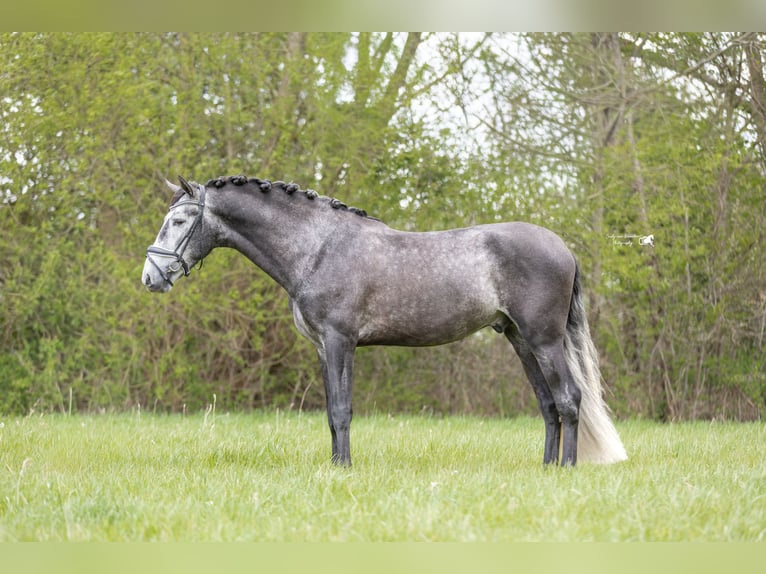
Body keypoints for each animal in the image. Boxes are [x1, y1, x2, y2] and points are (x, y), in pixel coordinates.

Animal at [143, 174, 627, 467]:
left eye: (180, 220)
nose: (151, 277)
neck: (317, 248)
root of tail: (562, 248)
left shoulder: (341, 341)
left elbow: (342, 410)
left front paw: (344, 469)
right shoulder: (322, 348)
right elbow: (330, 412)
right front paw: (335, 466)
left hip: (543, 340)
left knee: (568, 399)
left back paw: (566, 469)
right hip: (520, 340)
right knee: (548, 405)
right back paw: (545, 468)